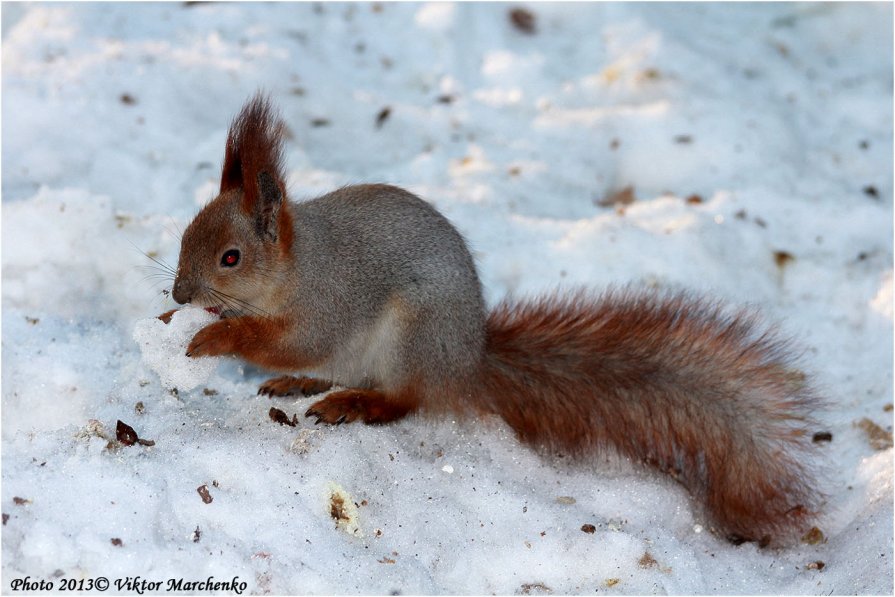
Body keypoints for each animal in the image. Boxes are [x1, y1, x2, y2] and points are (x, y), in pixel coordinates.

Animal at [163, 95, 824, 548]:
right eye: (186, 234)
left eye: (230, 258)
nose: (178, 292)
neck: (298, 267)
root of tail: (466, 361)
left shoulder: (331, 302)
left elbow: (293, 340)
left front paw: (214, 335)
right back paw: (303, 387)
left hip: (413, 336)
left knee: (404, 399)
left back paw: (356, 403)